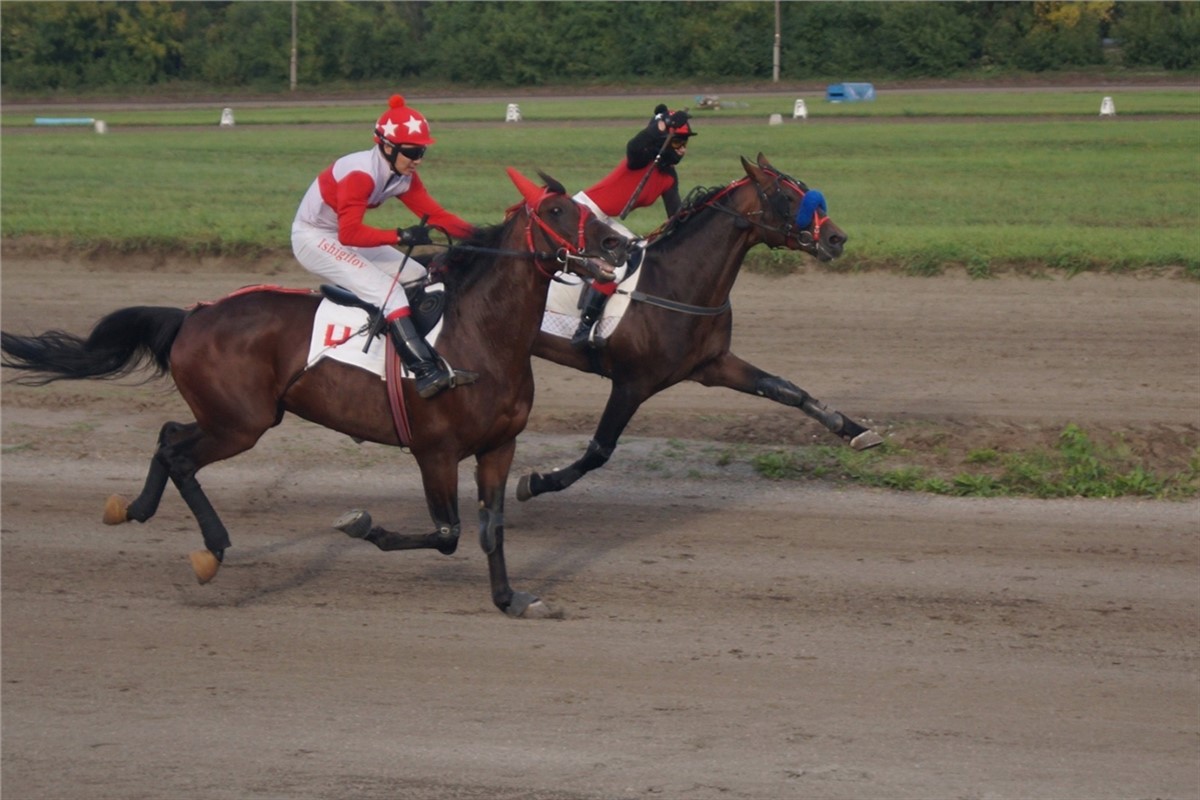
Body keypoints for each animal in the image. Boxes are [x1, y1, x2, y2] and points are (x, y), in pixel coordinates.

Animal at [0, 170, 633, 618]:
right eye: (556, 211)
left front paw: (510, 599)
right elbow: (447, 534)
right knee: (179, 454)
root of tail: (190, 316)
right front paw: (360, 523)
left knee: (167, 436)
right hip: (243, 423)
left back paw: (134, 507)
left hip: (233, 417)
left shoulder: (498, 447)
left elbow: (489, 530)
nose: (619, 247)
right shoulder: (435, 451)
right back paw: (211, 548)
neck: (479, 334)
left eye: (588, 208)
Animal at [518, 151, 883, 501]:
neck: (675, 284)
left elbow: (785, 388)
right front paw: (537, 482)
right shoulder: (631, 384)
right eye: (790, 198)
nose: (837, 238)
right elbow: (599, 450)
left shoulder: (712, 364)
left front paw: (854, 429)